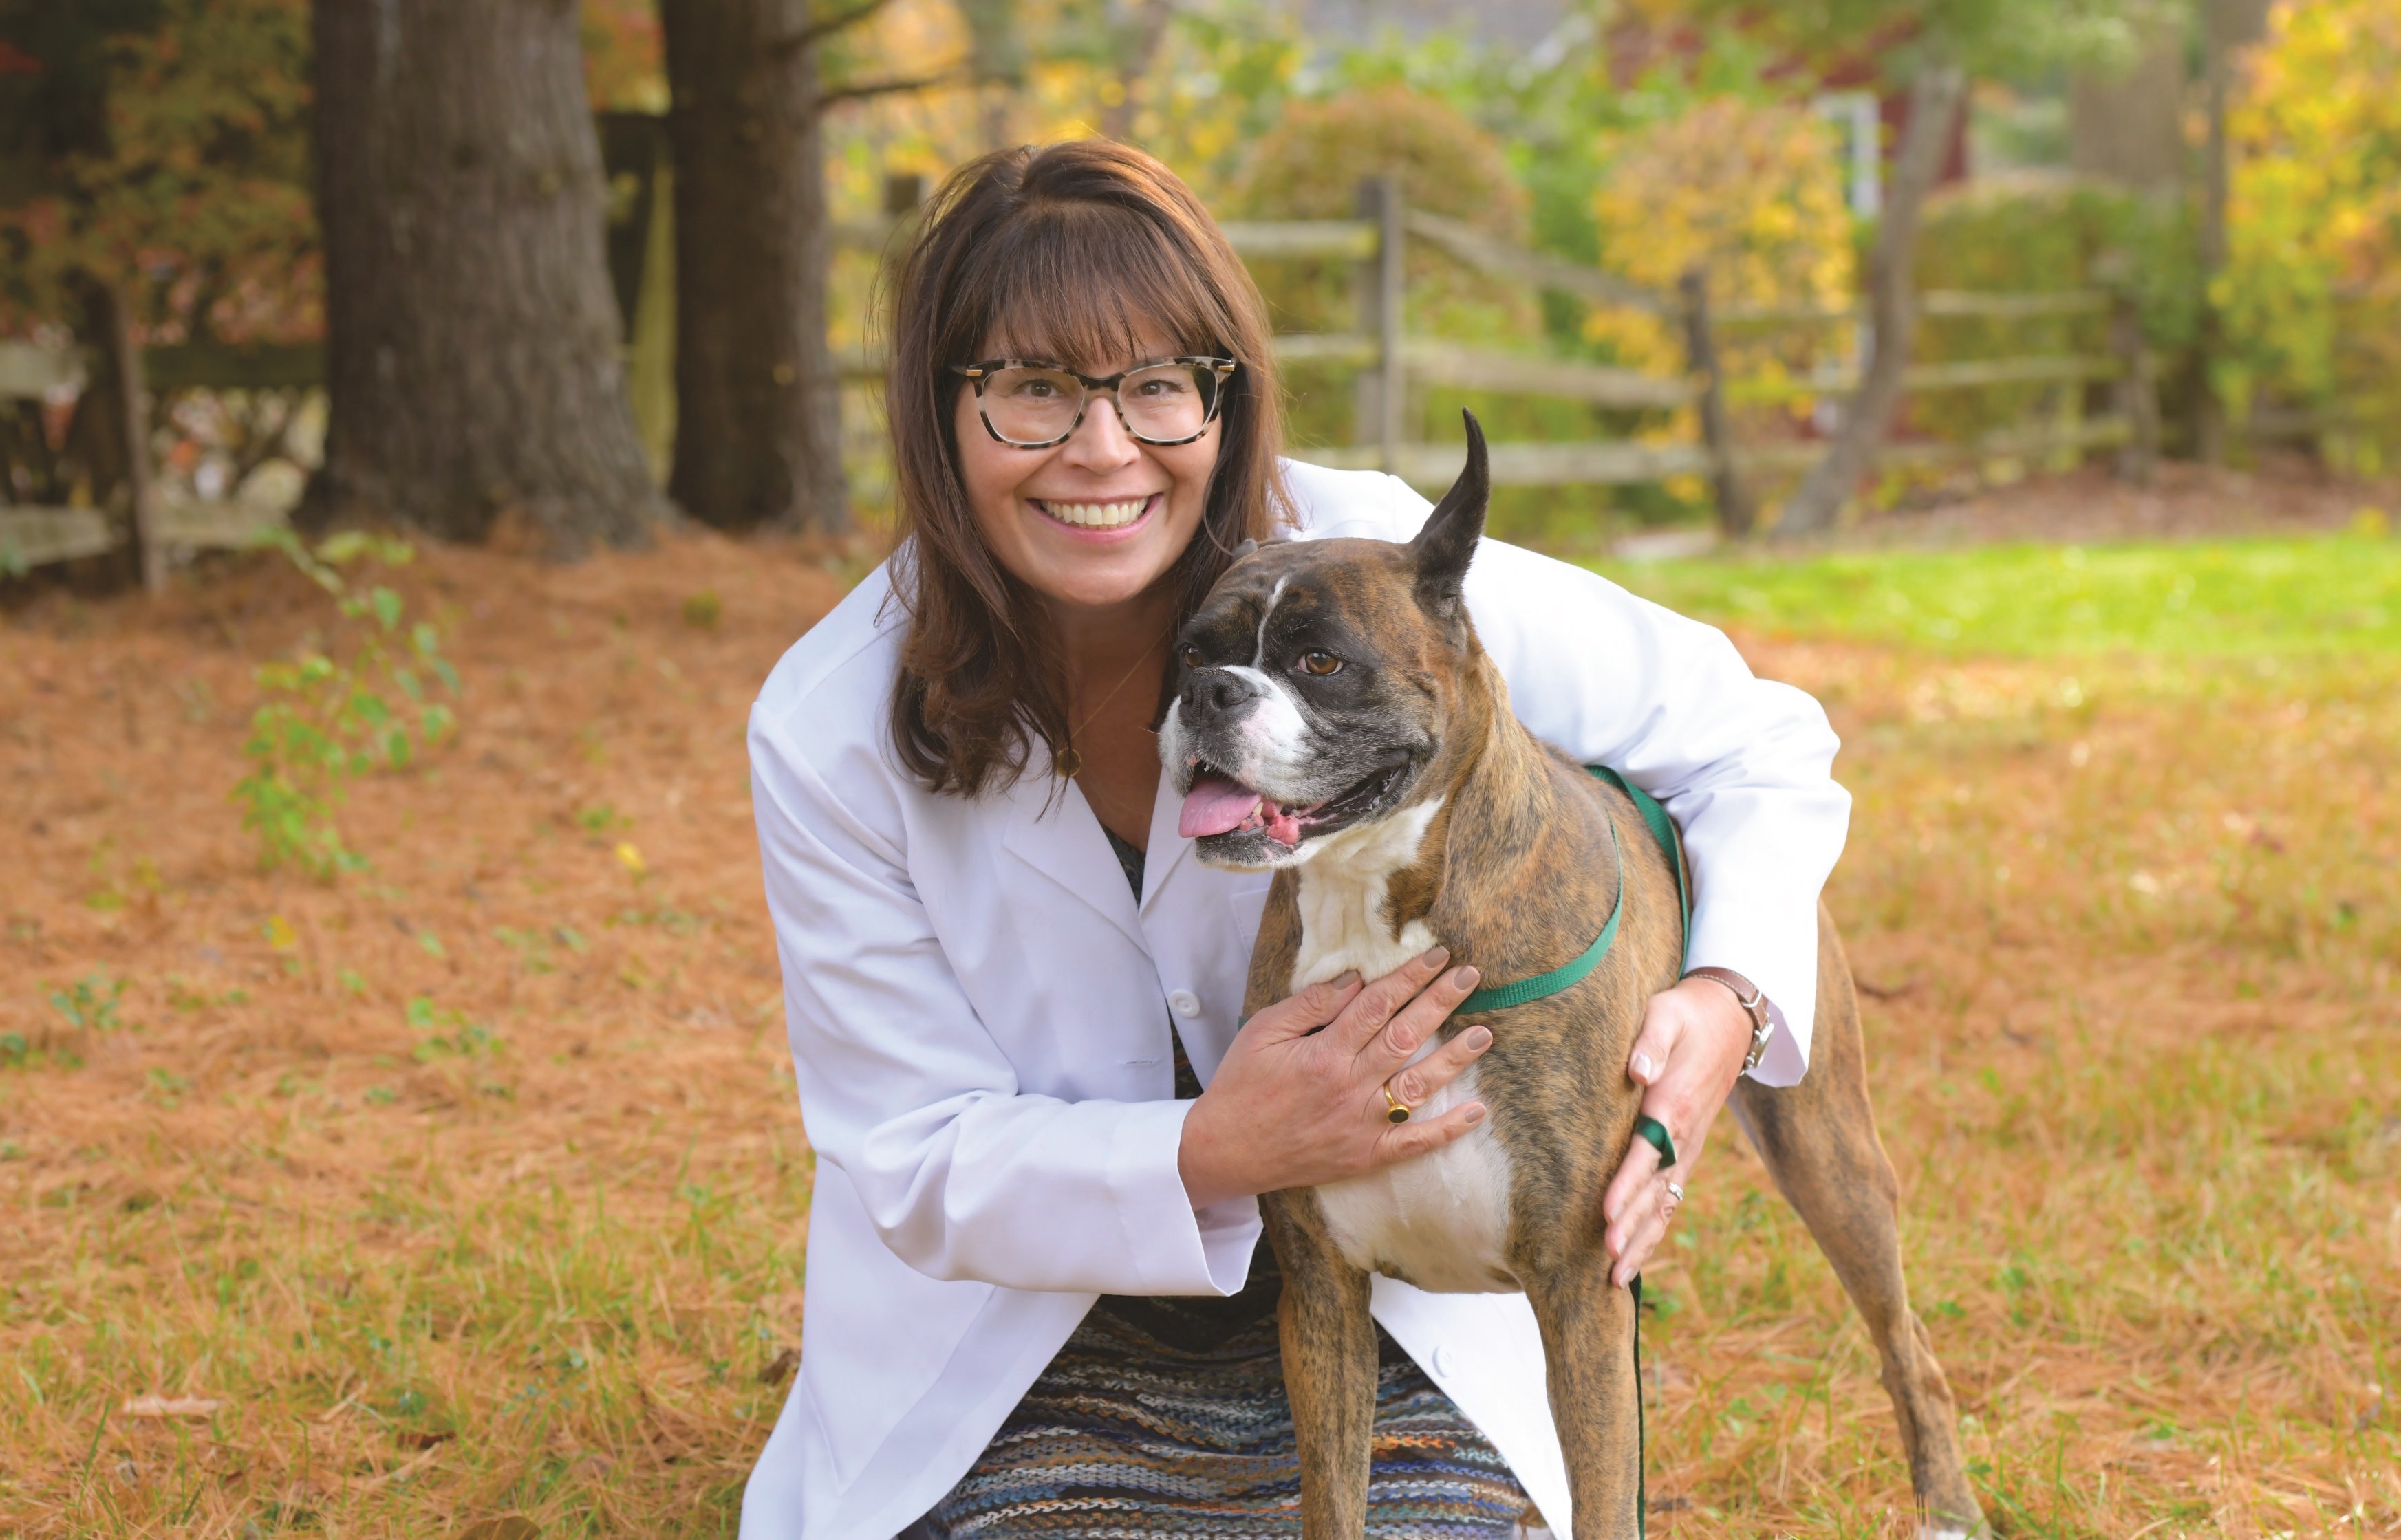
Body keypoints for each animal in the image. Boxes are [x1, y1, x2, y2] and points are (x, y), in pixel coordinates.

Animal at [1167, 410, 1988, 1535]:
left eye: (1320, 659)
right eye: (1190, 651)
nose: (1207, 693)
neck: (1378, 905)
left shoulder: (1578, 1292)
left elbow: (1604, 1496)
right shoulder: (1324, 1302)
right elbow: (1331, 1499)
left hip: (1829, 1158)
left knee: (1908, 1345)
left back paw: (1945, 1501)